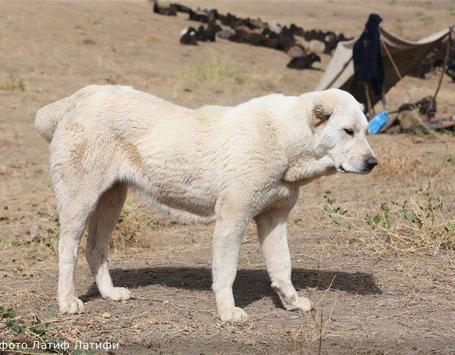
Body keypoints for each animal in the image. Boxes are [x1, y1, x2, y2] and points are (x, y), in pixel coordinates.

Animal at [34, 86, 378, 322]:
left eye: (366, 131)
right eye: (348, 131)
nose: (373, 162)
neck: (285, 139)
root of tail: (77, 99)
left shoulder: (274, 219)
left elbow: (282, 267)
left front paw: (292, 303)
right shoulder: (232, 219)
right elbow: (226, 273)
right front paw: (228, 313)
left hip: (112, 199)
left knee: (95, 248)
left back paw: (109, 293)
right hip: (80, 201)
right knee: (67, 248)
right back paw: (67, 302)